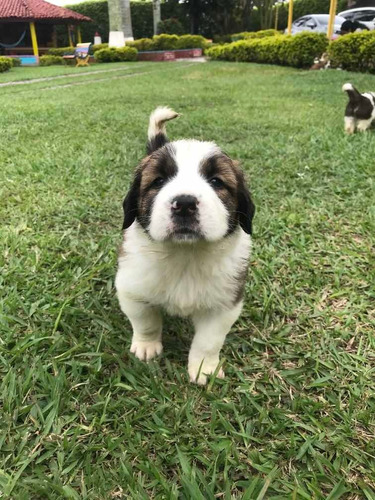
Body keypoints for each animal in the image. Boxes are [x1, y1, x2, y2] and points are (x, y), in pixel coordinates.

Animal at [114, 107, 256, 384]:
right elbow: (145, 321)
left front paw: (204, 368)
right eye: (158, 181)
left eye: (216, 181)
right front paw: (147, 346)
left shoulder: (225, 303)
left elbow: (209, 341)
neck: (185, 255)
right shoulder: (132, 289)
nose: (185, 204)